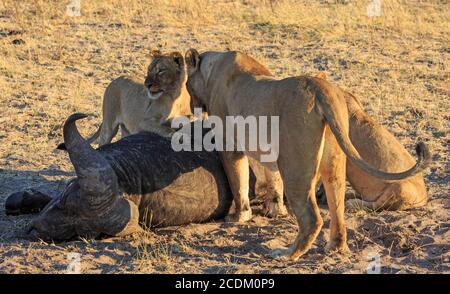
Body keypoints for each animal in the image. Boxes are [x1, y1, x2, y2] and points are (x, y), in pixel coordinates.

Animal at [185, 50, 430, 260]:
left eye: (186, 85)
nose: (190, 109)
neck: (211, 70)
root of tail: (319, 89)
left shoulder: (229, 146)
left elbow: (239, 184)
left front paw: (238, 217)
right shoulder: (269, 153)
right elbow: (274, 182)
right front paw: (275, 210)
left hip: (295, 166)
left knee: (312, 218)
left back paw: (287, 254)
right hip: (333, 166)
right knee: (337, 209)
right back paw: (335, 247)